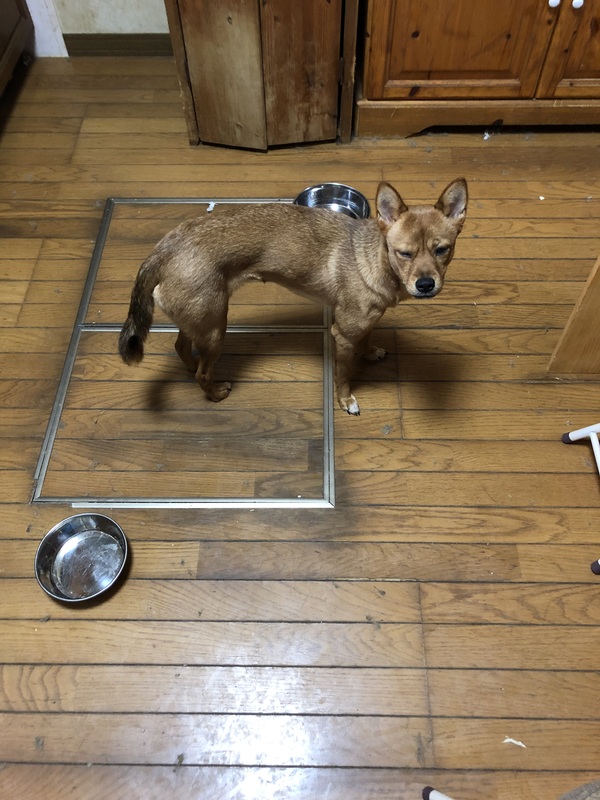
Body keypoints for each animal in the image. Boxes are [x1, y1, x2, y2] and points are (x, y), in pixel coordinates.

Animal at [119, 179, 467, 415]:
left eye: (443, 250)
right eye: (404, 253)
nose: (426, 284)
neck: (373, 258)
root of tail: (163, 250)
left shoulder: (364, 322)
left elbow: (367, 339)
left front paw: (370, 353)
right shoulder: (342, 336)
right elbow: (343, 375)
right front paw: (346, 401)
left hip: (201, 320)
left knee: (182, 347)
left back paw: (192, 366)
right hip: (216, 326)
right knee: (204, 372)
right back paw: (217, 392)